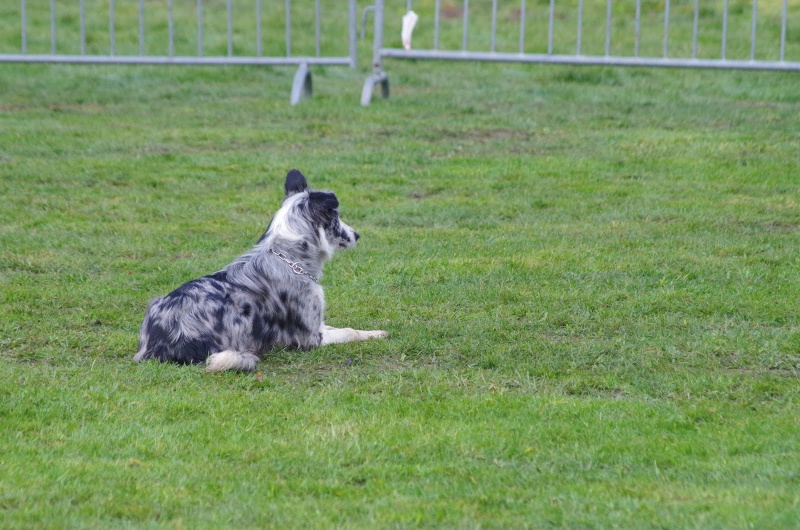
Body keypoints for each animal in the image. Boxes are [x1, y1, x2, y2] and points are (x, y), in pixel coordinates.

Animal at [134, 167, 388, 370]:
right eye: (336, 217)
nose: (357, 235)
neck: (288, 256)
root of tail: (155, 347)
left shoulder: (318, 324)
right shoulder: (311, 336)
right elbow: (349, 331)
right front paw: (376, 334)